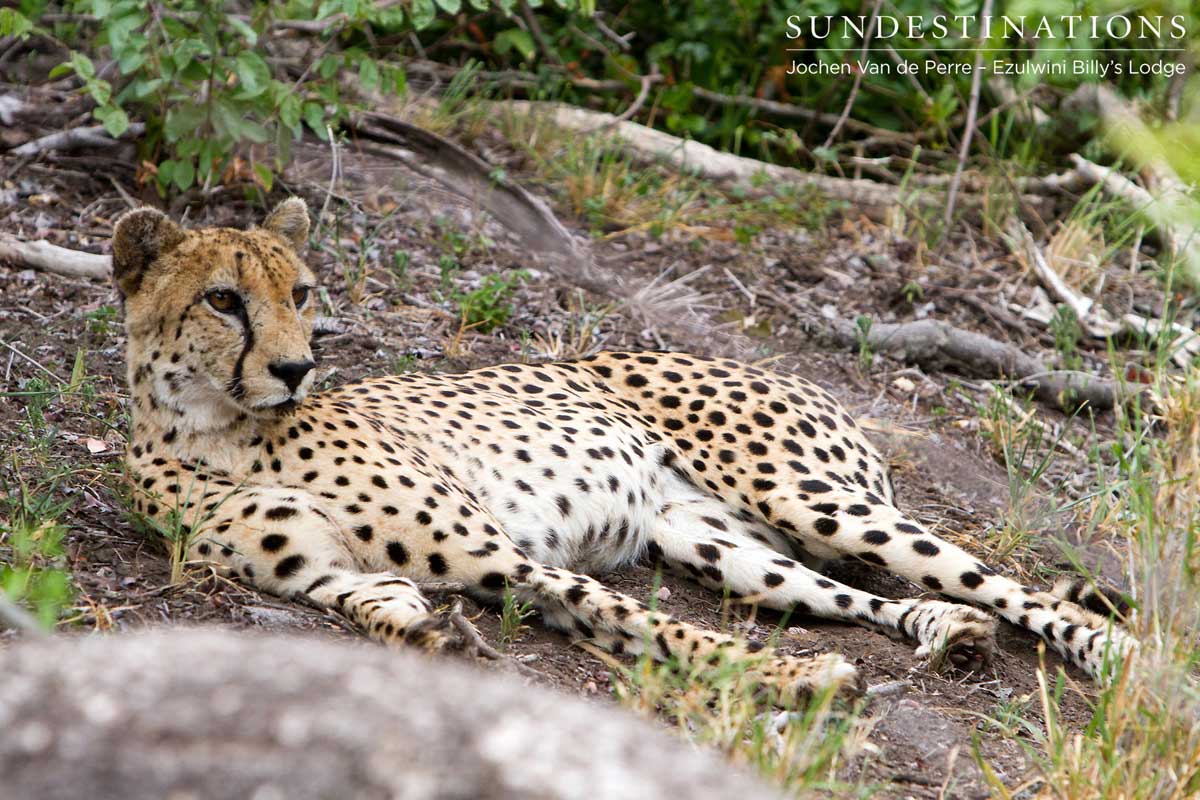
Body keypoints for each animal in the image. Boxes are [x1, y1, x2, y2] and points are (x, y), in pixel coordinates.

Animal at [113, 198, 1135, 696]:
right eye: (223, 300)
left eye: (302, 292)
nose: (296, 367)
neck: (221, 430)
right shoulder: (329, 577)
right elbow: (382, 605)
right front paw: (426, 629)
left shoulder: (506, 557)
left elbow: (655, 626)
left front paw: (791, 680)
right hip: (717, 544)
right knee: (858, 598)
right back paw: (941, 631)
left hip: (811, 498)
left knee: (1014, 587)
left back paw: (1114, 657)